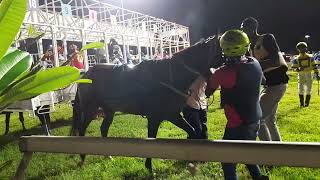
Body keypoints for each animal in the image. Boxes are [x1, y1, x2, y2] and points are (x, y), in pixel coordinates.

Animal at [70, 35, 222, 172]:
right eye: (221, 51)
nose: (211, 88)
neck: (169, 75)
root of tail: (85, 75)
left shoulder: (172, 115)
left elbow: (192, 131)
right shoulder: (156, 117)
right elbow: (151, 138)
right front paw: (149, 167)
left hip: (109, 111)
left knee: (103, 129)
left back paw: (107, 155)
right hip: (90, 109)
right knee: (82, 130)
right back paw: (82, 157)